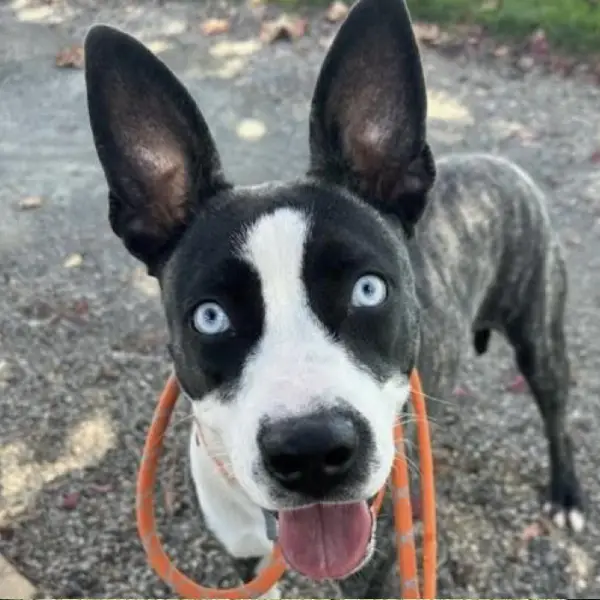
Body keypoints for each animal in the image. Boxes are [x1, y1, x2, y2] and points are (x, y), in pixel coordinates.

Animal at [82, 1, 584, 596]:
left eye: (368, 289)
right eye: (210, 316)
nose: (311, 451)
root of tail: (496, 161)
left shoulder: (376, 572)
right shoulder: (245, 564)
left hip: (539, 335)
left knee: (555, 410)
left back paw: (567, 494)